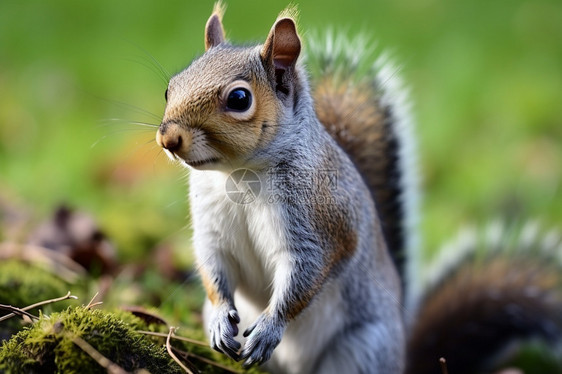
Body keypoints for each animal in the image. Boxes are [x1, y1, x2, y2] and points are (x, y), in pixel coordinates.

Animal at [153, 3, 560, 374]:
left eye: (239, 99)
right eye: (170, 87)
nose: (168, 138)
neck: (239, 176)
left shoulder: (320, 225)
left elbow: (304, 278)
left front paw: (270, 327)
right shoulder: (213, 228)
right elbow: (213, 266)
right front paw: (220, 319)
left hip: (362, 349)